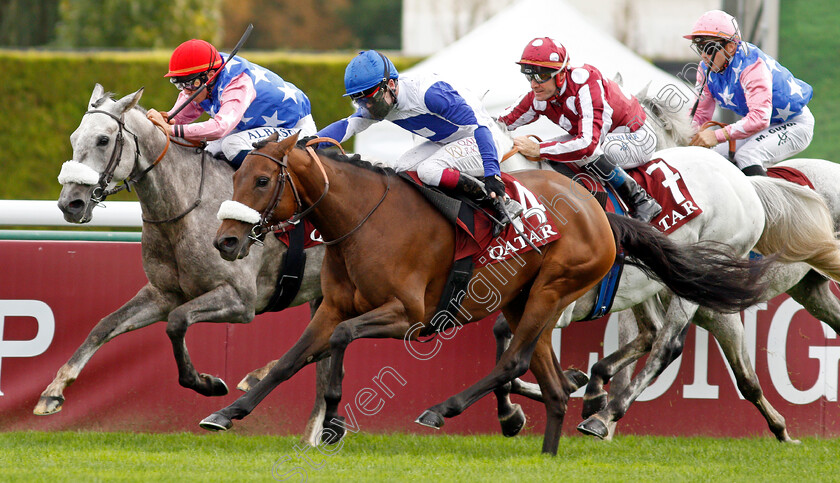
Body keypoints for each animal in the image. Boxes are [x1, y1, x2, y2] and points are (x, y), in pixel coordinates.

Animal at [37, 84, 332, 446]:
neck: (185, 209)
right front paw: (53, 391)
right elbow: (104, 325)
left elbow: (177, 323)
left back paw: (261, 383)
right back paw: (309, 430)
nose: (70, 204)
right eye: (74, 137)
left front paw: (207, 383)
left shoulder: (240, 300)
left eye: (103, 140)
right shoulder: (162, 294)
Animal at [203, 130, 776, 456]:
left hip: (552, 292)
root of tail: (599, 212)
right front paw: (228, 413)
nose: (225, 241)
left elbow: (340, 341)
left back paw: (448, 409)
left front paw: (334, 415)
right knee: (551, 381)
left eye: (261, 181)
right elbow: (290, 359)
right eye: (238, 177)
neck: (364, 219)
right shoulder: (335, 307)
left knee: (522, 360)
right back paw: (553, 446)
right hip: (533, 301)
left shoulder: (408, 315)